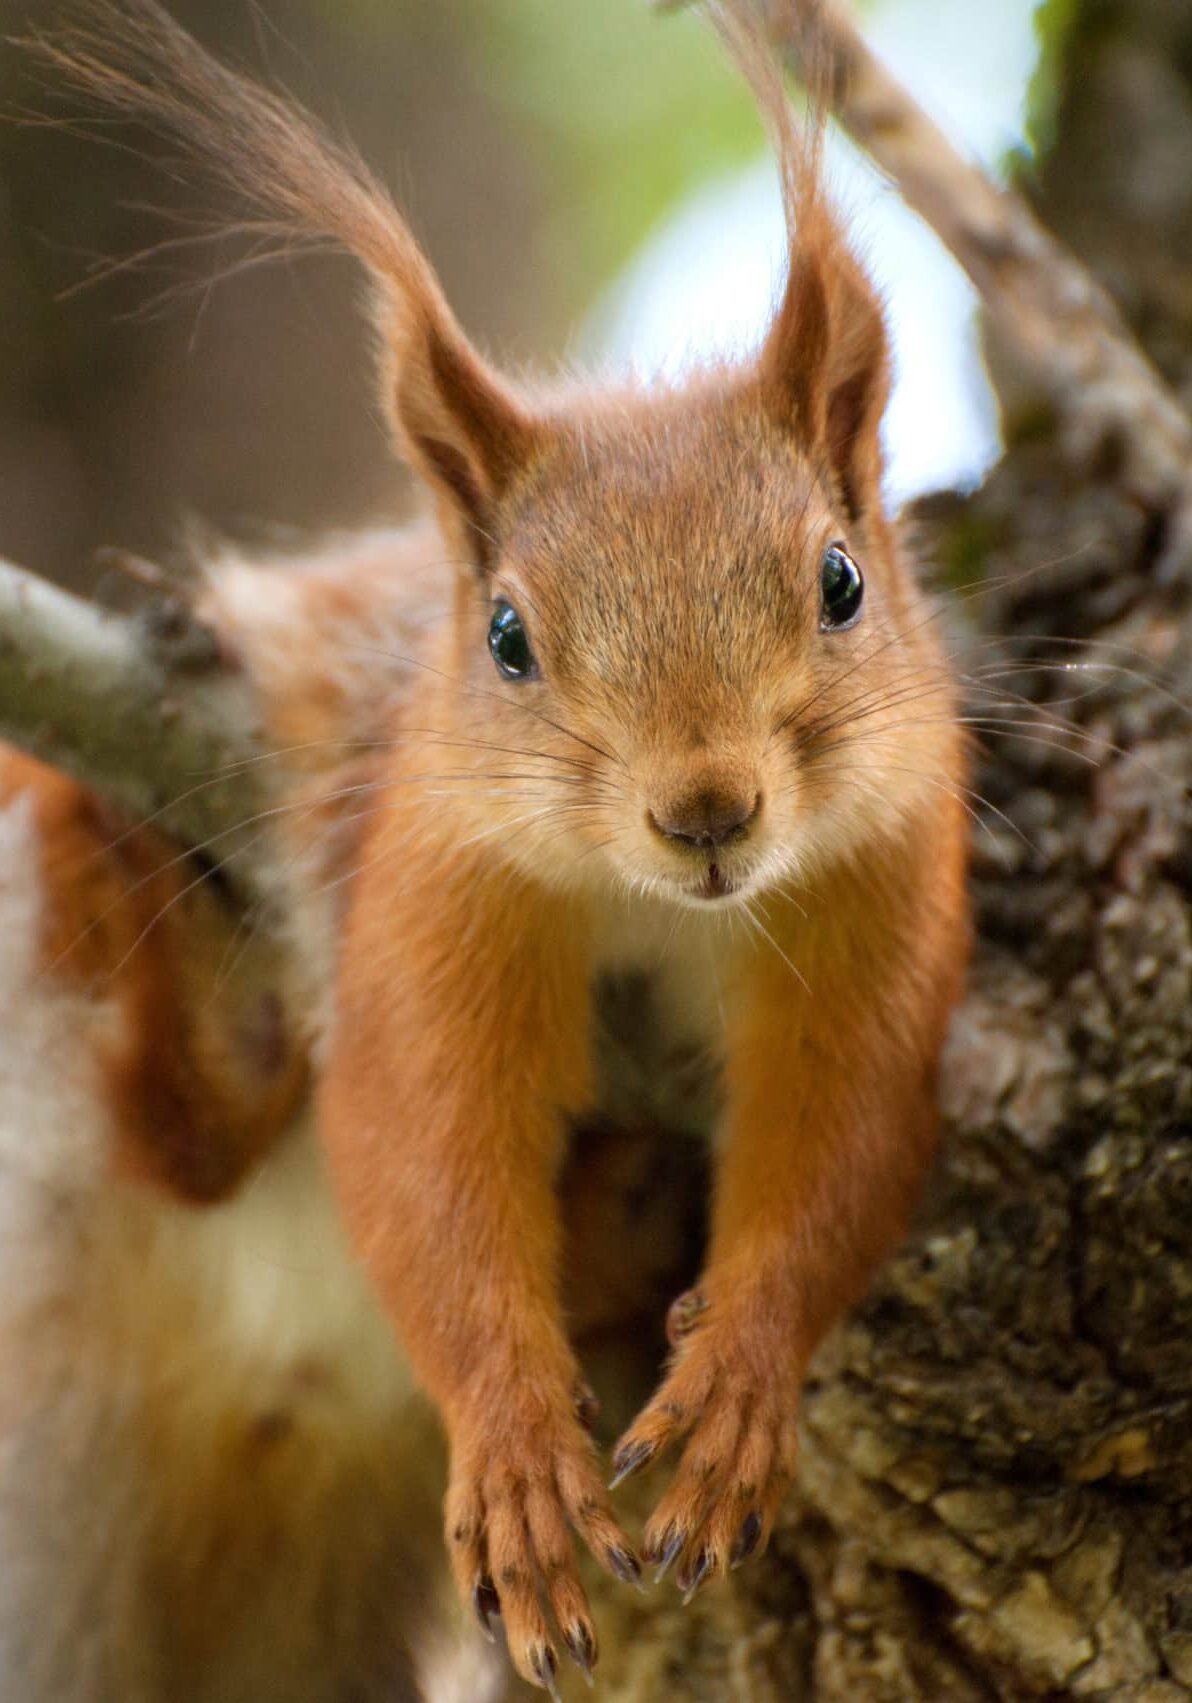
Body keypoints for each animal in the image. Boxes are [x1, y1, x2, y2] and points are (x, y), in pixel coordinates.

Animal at [15, 0, 972, 1694]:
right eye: (509, 637)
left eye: (845, 581)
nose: (707, 809)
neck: (663, 904)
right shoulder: (431, 879)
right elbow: (423, 1142)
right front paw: (516, 1447)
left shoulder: (876, 890)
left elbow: (844, 1134)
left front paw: (742, 1377)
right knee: (175, 1127)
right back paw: (184, 957)